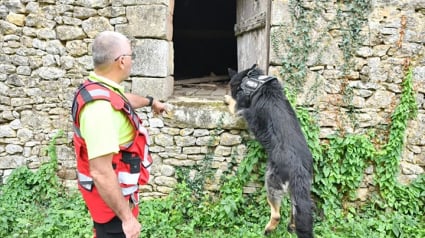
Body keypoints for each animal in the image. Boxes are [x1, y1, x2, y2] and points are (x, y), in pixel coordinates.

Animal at [224, 64, 314, 237]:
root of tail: (298, 167)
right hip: (295, 191)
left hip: (271, 182)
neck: (252, 79)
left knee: (277, 214)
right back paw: (291, 226)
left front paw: (226, 98)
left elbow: (233, 103)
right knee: (295, 210)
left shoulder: (239, 108)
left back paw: (268, 229)